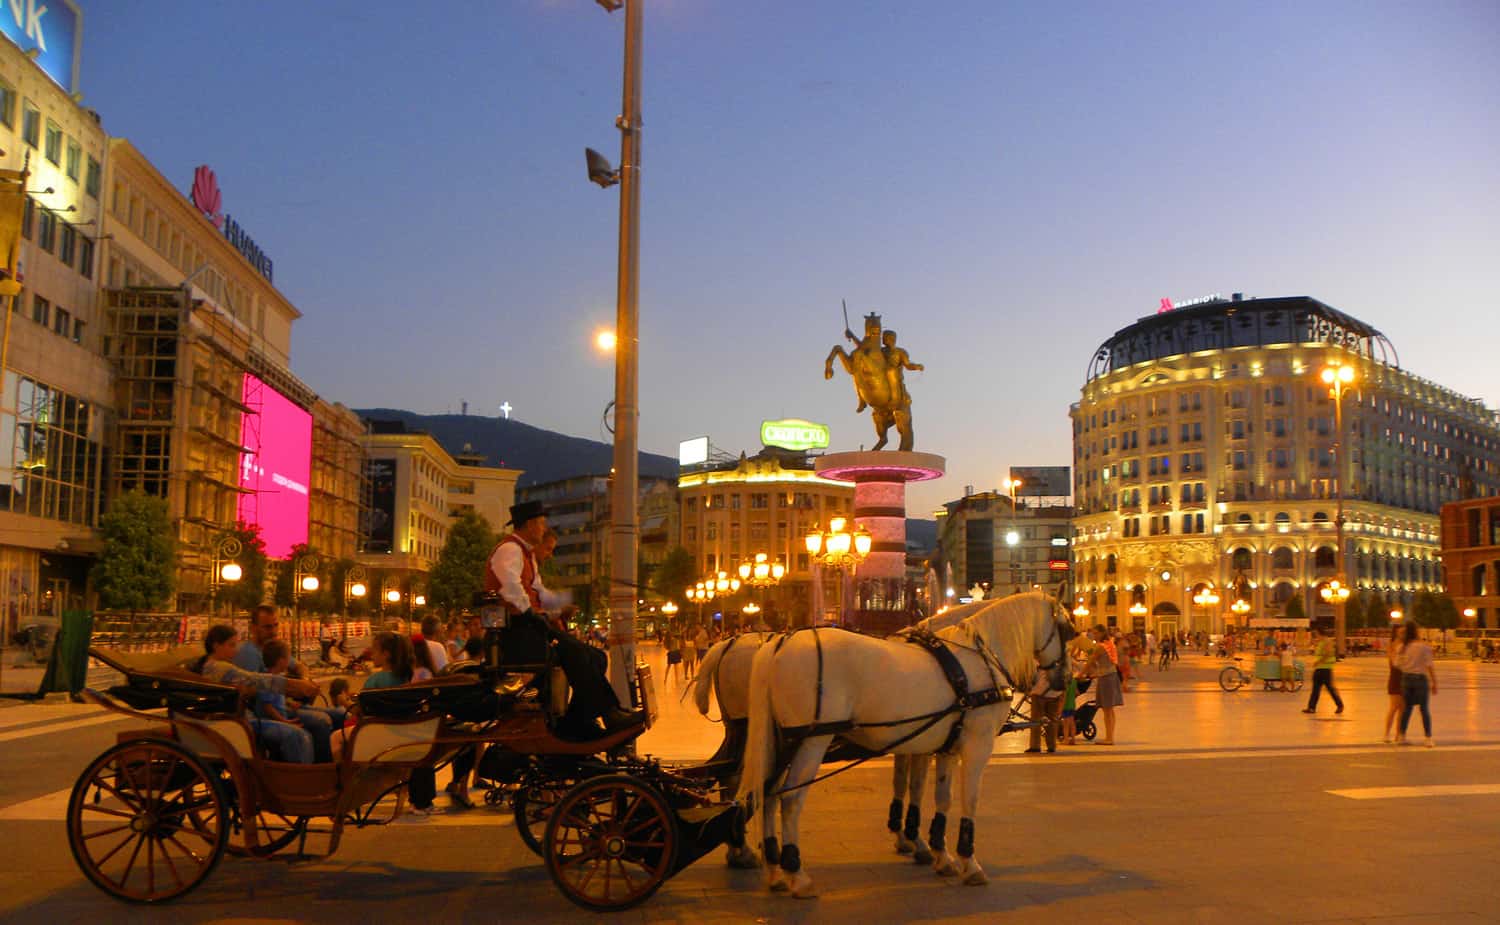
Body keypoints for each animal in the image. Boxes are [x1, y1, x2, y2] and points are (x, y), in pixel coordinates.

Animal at [732, 590, 1074, 893]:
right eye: (1068, 630)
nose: (1065, 679)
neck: (981, 658)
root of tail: (781, 641)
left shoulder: (946, 747)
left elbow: (942, 797)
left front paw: (940, 854)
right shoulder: (977, 745)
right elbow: (969, 799)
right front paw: (969, 862)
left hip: (781, 741)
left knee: (768, 794)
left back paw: (774, 870)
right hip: (812, 740)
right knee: (790, 800)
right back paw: (796, 874)